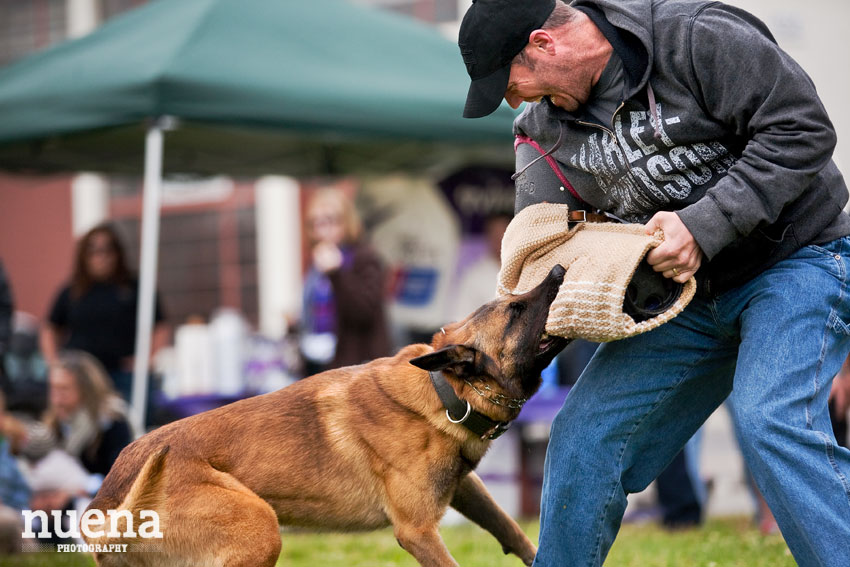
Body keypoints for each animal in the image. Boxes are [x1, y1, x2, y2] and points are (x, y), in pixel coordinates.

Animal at [83, 266, 568, 567]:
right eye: (516, 310)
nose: (560, 270)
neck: (444, 391)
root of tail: (106, 504)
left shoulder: (464, 487)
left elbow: (511, 528)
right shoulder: (416, 530)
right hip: (261, 528)